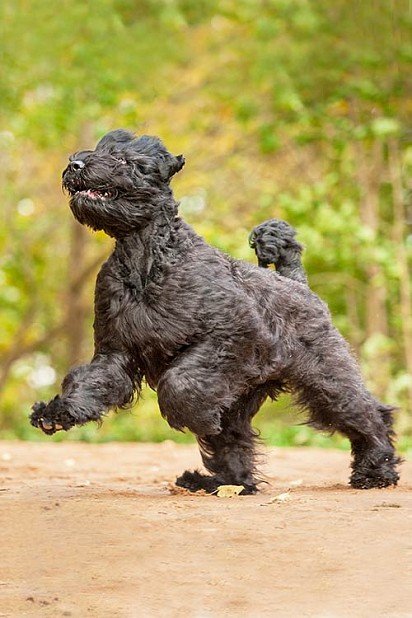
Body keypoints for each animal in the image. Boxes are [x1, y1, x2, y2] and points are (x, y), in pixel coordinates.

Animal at [30, 129, 400, 490]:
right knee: (234, 441)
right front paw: (58, 411)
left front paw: (193, 415)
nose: (75, 164)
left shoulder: (229, 335)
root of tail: (297, 282)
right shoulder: (116, 351)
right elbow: (90, 382)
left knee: (366, 414)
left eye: (123, 160)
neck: (145, 257)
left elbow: (180, 381)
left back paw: (375, 472)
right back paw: (222, 483)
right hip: (243, 396)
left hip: (326, 377)